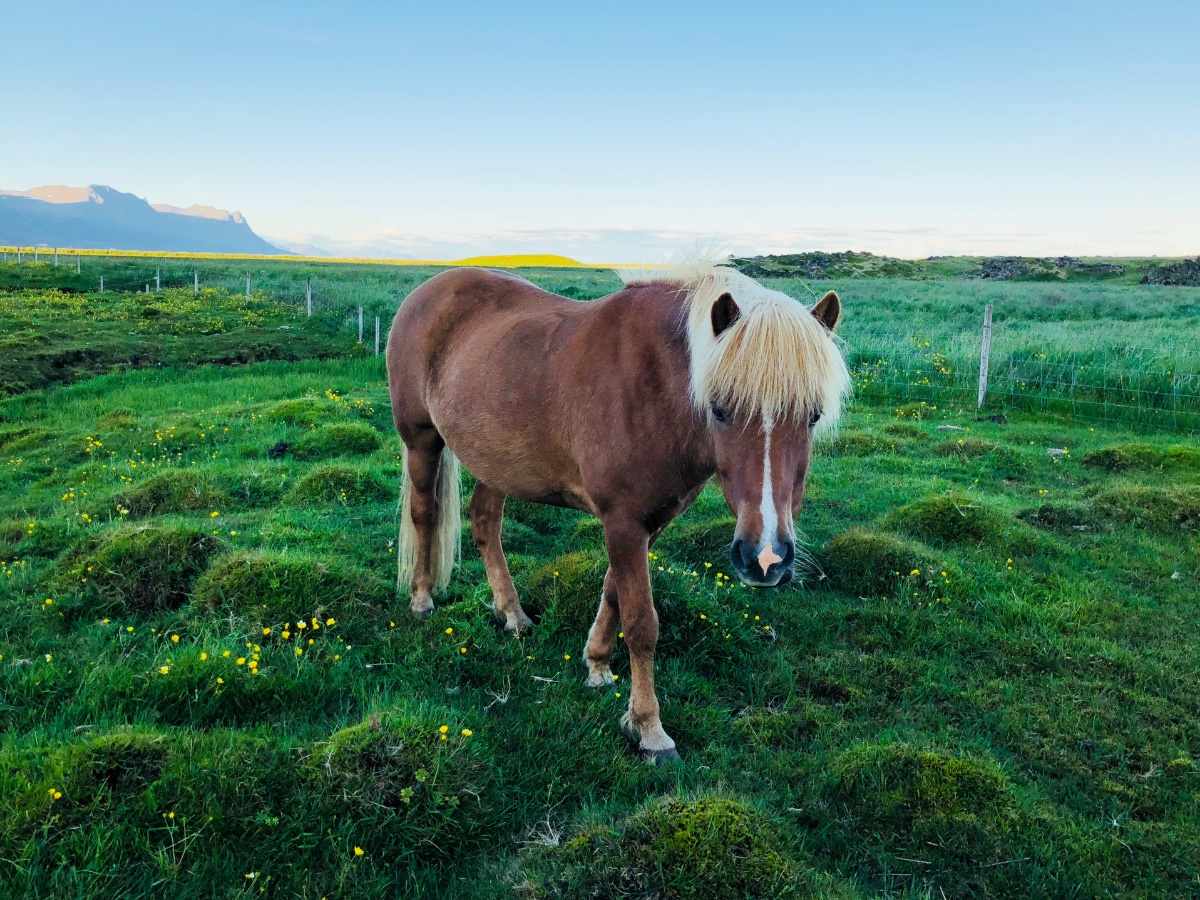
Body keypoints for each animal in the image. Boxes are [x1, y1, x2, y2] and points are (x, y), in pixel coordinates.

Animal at [386, 261, 850, 761]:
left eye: (813, 415)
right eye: (720, 410)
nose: (765, 560)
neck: (656, 386)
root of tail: (427, 291)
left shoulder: (647, 521)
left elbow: (612, 591)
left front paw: (597, 667)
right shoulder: (623, 520)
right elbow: (642, 621)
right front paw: (649, 728)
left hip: (496, 461)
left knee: (486, 523)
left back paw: (512, 615)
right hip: (421, 440)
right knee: (424, 513)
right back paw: (422, 600)